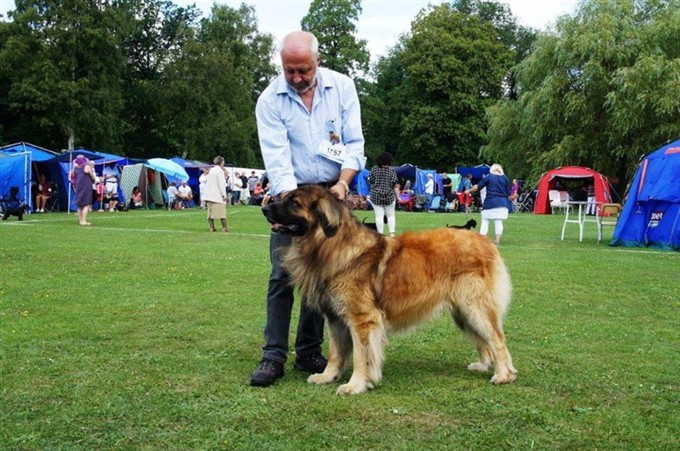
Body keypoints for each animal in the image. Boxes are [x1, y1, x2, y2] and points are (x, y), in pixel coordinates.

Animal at [260, 185, 516, 394]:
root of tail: (485, 242)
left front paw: (356, 384)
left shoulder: (362, 318)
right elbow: (335, 352)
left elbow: (362, 356)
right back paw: (484, 365)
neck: (329, 244)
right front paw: (327, 376)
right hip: (462, 312)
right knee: (483, 340)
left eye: (293, 202)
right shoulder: (336, 318)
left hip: (475, 307)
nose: (265, 207)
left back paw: (503, 375)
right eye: (285, 198)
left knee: (497, 339)